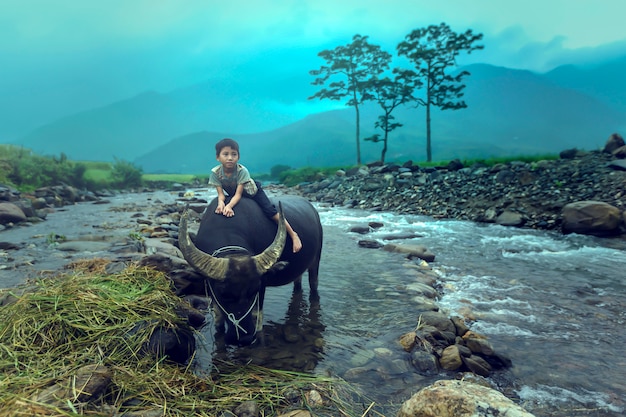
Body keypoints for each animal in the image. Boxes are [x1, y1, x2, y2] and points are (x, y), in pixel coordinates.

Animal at [177, 195, 320, 344]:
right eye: (224, 294)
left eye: (254, 291)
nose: (244, 339)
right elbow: (218, 320)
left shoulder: (262, 286)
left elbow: (257, 317)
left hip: (316, 261)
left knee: (313, 283)